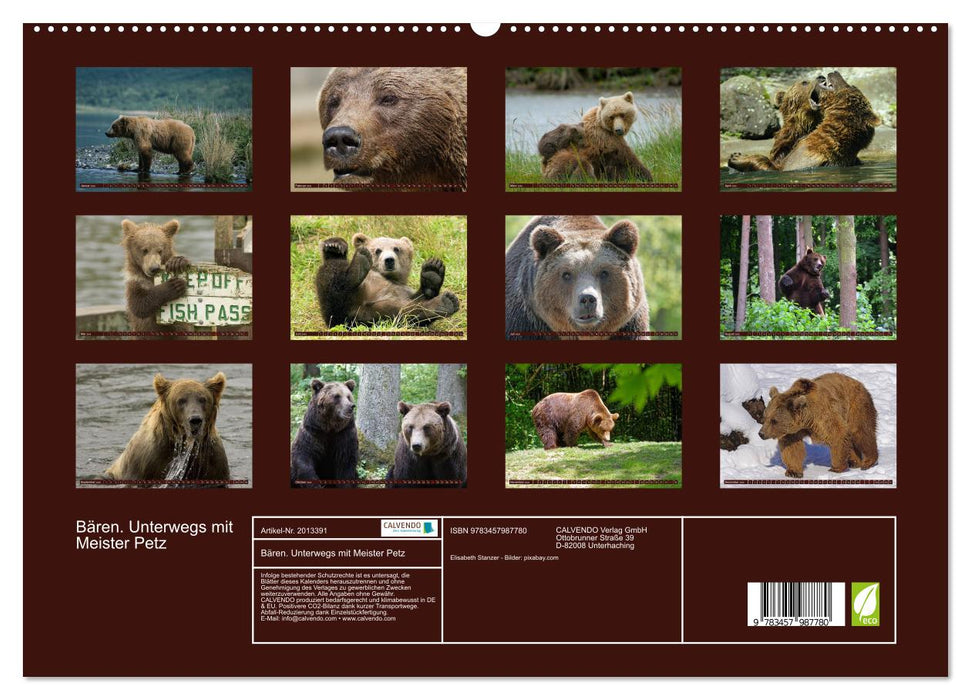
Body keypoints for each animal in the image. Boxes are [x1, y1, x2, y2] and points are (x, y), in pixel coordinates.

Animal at [314, 234, 459, 327]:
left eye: (396, 249)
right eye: (378, 250)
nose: (389, 260)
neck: (388, 277)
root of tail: (353, 310)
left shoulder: (402, 290)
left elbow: (419, 299)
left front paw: (432, 272)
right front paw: (334, 245)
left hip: (375, 315)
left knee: (403, 312)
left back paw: (445, 302)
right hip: (337, 310)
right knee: (332, 274)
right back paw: (357, 264)